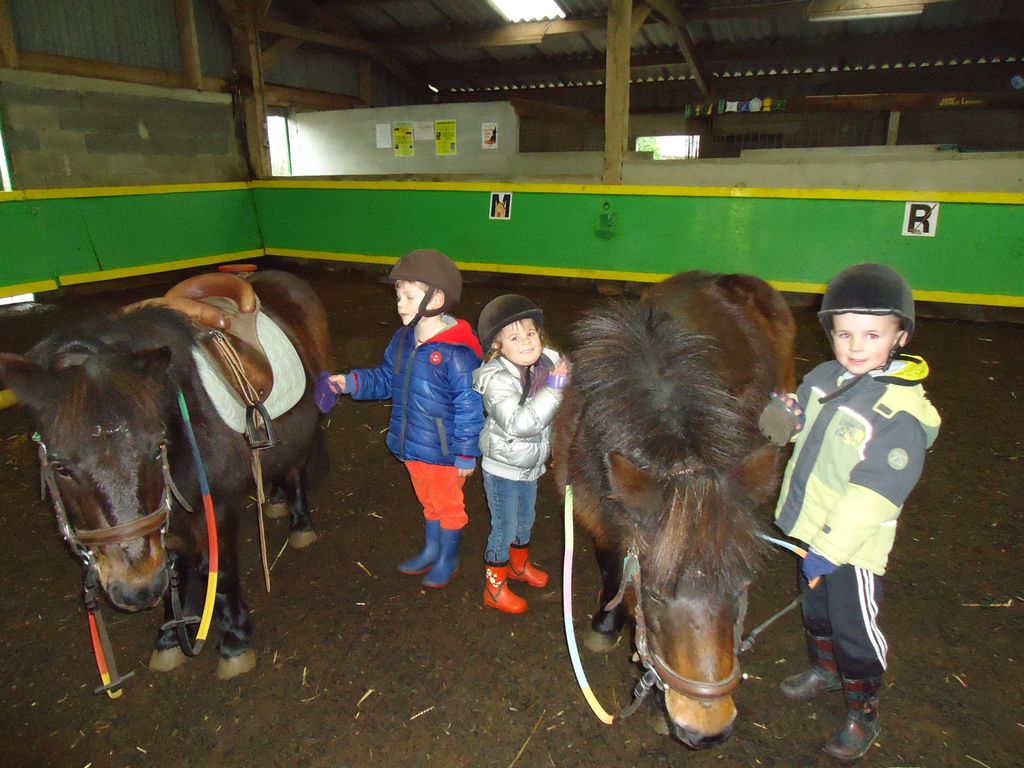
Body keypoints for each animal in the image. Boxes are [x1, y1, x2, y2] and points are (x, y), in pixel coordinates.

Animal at [0, 269, 331, 681]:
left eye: (156, 446)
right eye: (60, 467)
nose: (136, 589)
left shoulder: (216, 508)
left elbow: (219, 572)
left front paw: (235, 641)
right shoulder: (165, 520)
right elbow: (177, 569)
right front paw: (171, 636)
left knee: (297, 468)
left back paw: (299, 522)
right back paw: (275, 500)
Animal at [552, 271, 795, 748]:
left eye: (740, 590)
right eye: (655, 594)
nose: (707, 731)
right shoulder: (596, 512)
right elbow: (614, 566)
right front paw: (605, 624)